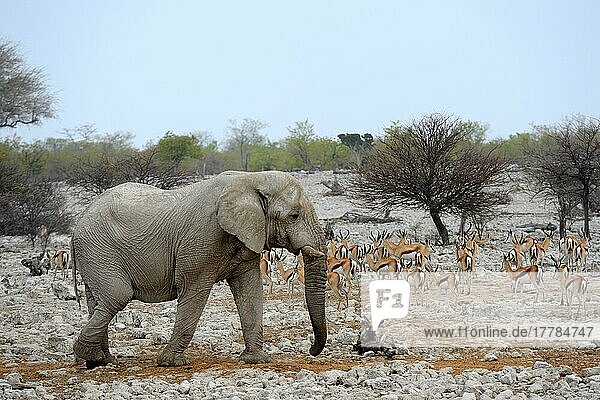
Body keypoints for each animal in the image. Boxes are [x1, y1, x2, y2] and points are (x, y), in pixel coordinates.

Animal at [72, 170, 330, 368]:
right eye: (294, 216)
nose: (311, 350)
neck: (251, 178)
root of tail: (78, 223)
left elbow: (250, 290)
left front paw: (256, 360)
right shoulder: (201, 239)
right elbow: (194, 291)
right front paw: (170, 363)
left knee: (97, 301)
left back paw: (99, 360)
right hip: (98, 249)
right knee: (117, 296)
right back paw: (92, 357)